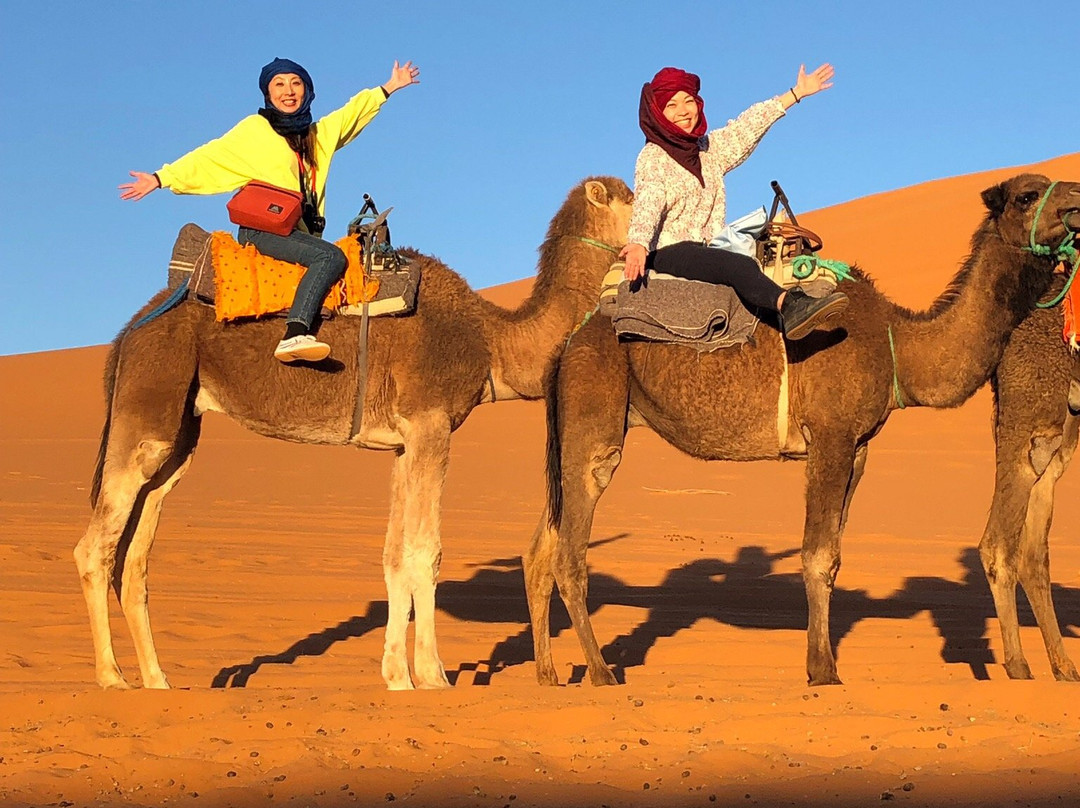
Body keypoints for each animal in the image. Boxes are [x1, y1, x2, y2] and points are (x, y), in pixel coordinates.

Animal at [74, 176, 633, 691]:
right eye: (633, 197)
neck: (492, 339)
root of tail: (129, 330)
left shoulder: (404, 444)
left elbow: (394, 559)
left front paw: (397, 677)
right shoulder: (431, 426)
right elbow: (426, 553)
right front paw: (433, 676)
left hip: (179, 433)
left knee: (137, 553)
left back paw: (157, 680)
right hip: (150, 401)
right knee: (95, 546)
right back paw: (111, 678)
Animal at [523, 173, 1080, 687]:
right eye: (1027, 196)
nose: (1076, 201)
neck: (899, 344)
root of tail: (569, 342)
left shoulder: (858, 447)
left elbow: (833, 555)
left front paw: (821, 663)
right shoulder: (830, 436)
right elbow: (816, 556)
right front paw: (822, 671)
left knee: (542, 547)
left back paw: (549, 675)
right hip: (595, 414)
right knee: (571, 552)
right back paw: (601, 673)